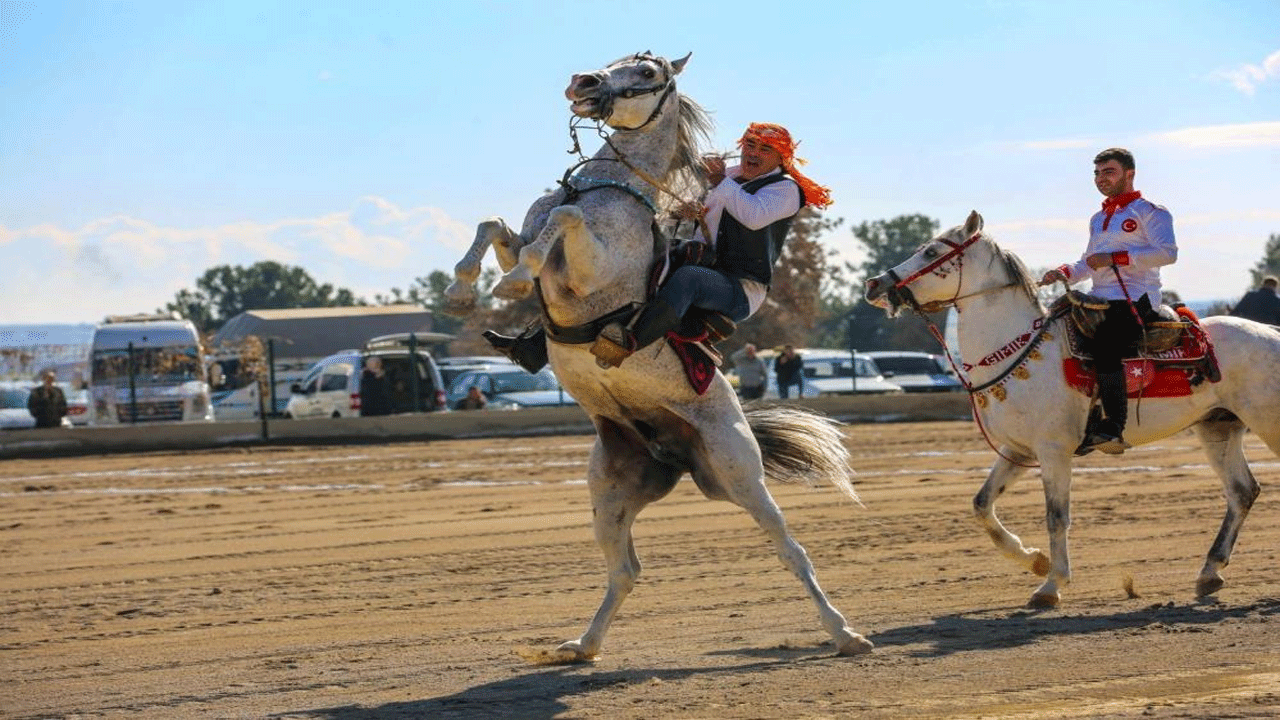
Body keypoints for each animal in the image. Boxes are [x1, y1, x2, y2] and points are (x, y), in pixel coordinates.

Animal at [445, 49, 875, 655]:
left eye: (647, 71)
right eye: (614, 58)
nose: (583, 82)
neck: (607, 189)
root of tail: (670, 449)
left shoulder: (586, 271)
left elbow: (561, 224)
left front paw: (509, 284)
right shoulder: (530, 243)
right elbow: (498, 227)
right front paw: (462, 291)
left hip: (738, 475)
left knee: (792, 551)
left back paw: (845, 633)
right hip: (610, 490)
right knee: (626, 571)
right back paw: (583, 647)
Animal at [860, 211, 1280, 604]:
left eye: (931, 252)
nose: (875, 284)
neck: (1021, 350)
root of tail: (1271, 333)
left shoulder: (1053, 451)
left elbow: (1056, 517)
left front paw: (1051, 585)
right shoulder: (1018, 450)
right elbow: (982, 504)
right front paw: (1034, 560)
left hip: (1266, 423)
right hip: (1218, 428)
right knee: (1242, 491)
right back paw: (1210, 572)